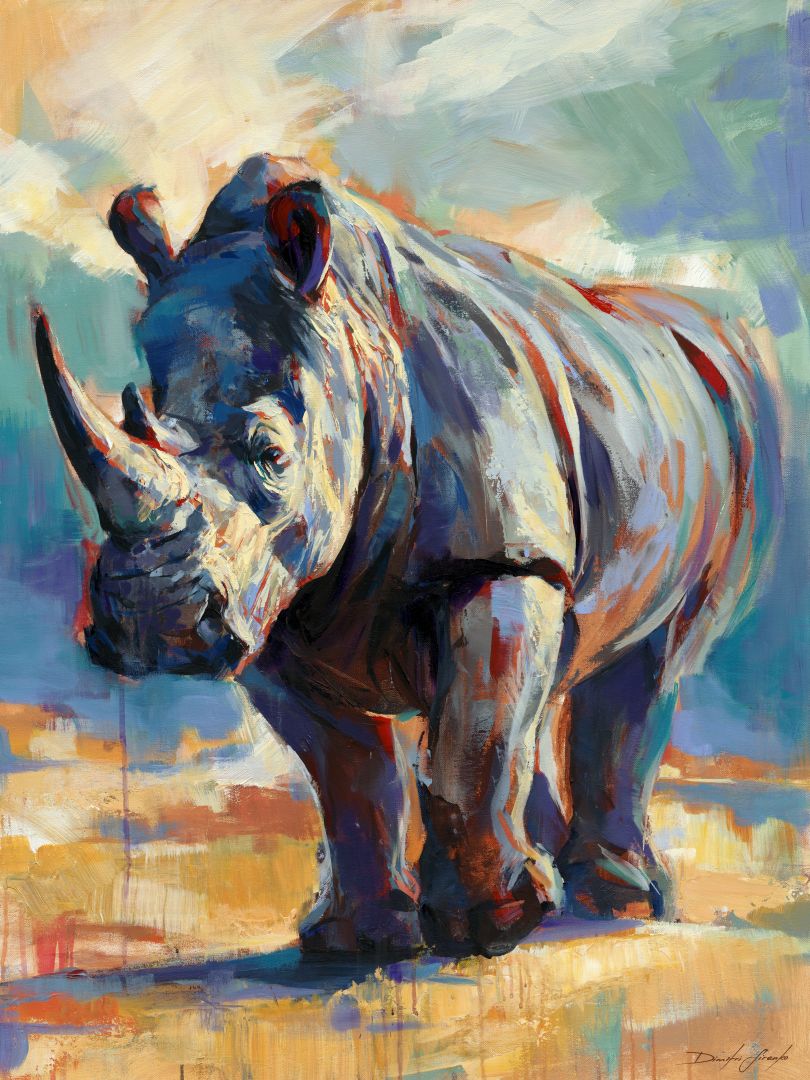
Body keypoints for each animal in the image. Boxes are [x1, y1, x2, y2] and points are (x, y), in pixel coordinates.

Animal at [34, 153, 781, 958]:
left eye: (271, 455)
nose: (153, 629)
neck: (351, 349)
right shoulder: (274, 598)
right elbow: (349, 773)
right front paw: (354, 943)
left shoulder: (500, 557)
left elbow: (474, 736)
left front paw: (488, 928)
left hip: (739, 430)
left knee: (652, 661)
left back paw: (616, 903)